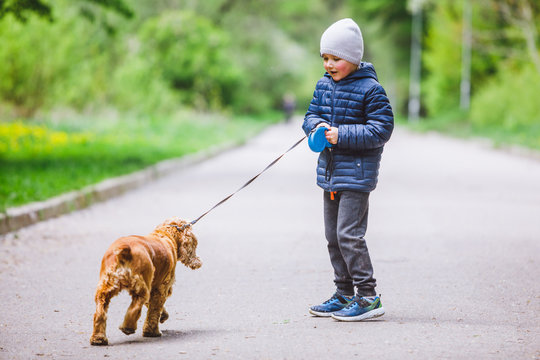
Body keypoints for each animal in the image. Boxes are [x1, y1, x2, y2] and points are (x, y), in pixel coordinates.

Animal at [89, 217, 201, 346]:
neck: (166, 234)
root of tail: (125, 250)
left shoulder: (153, 285)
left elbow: (152, 305)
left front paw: (163, 316)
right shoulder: (162, 287)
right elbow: (154, 310)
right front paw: (152, 331)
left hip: (105, 288)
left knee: (100, 313)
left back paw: (98, 339)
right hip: (141, 286)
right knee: (136, 306)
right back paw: (128, 328)